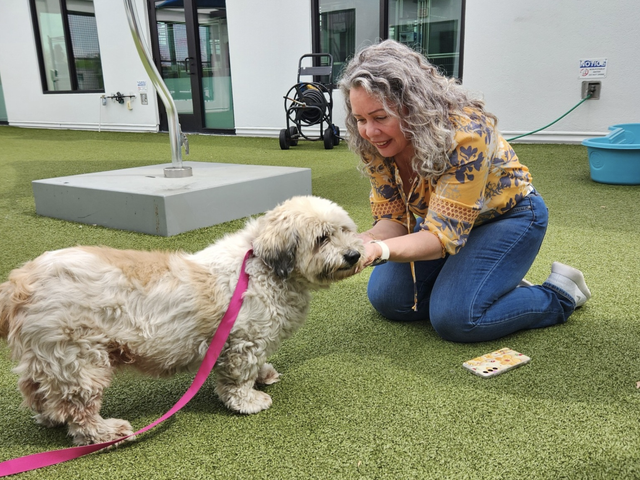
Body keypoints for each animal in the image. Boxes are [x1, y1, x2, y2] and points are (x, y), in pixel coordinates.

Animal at [0, 195, 362, 446]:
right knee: (79, 409)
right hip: (79, 359)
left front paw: (265, 374)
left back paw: (49, 418)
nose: (354, 255)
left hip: (49, 357)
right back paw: (105, 433)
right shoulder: (242, 341)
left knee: (37, 390)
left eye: (346, 231)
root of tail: (18, 283)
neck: (262, 265)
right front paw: (248, 401)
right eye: (322, 238)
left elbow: (258, 365)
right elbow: (239, 379)